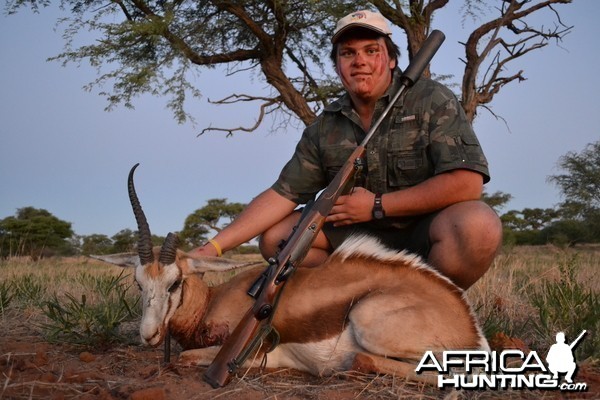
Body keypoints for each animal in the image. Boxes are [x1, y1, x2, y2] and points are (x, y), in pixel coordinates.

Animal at [94, 165, 488, 382]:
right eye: (138, 282)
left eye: (174, 282)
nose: (148, 335)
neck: (212, 302)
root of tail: (468, 325)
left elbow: (186, 357)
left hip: (368, 320)